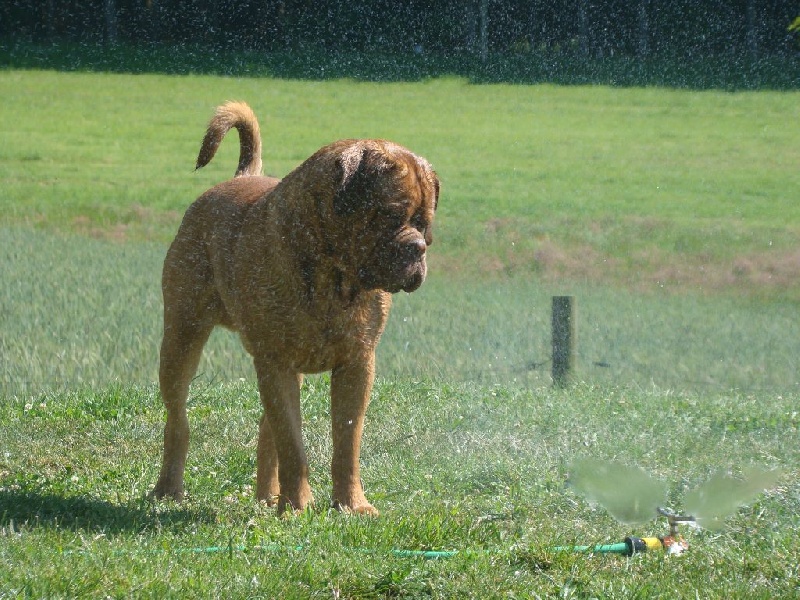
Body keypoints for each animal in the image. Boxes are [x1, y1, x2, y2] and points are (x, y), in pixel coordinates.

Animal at [153, 101, 440, 512]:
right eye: (387, 215)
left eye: (423, 222)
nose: (417, 247)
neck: (332, 278)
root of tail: (238, 178)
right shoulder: (276, 362)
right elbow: (292, 441)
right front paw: (299, 506)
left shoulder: (357, 364)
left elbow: (346, 443)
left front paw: (351, 504)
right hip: (182, 336)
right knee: (179, 418)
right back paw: (169, 488)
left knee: (266, 429)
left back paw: (267, 497)